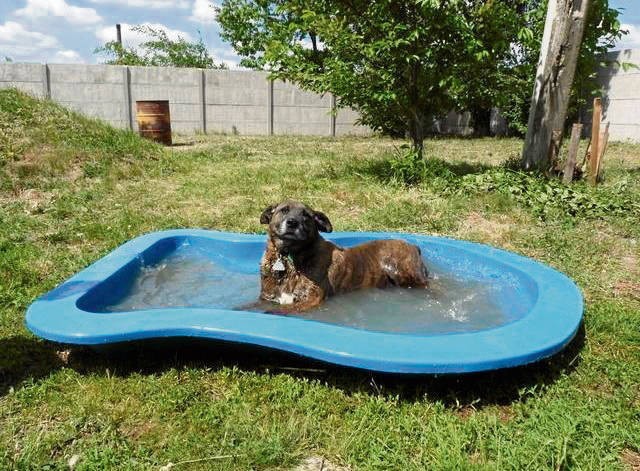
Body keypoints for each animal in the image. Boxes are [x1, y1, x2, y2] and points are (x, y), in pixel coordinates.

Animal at [256, 199, 430, 314]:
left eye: (306, 215)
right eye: (284, 210)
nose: (292, 222)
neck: (290, 257)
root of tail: (414, 246)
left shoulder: (311, 299)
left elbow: (277, 311)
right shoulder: (267, 297)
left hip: (403, 273)